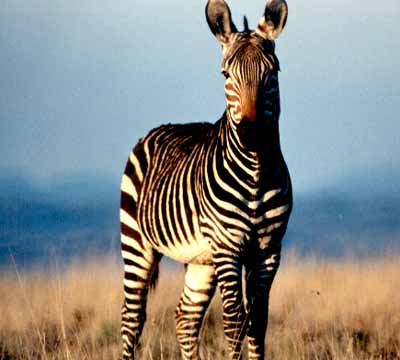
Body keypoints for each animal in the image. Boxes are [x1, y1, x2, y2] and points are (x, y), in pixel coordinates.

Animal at [120, 0, 292, 358]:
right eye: (226, 74)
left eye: (273, 72)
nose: (252, 134)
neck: (255, 175)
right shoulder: (227, 247)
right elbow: (234, 321)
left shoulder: (270, 248)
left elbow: (258, 321)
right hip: (136, 243)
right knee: (132, 318)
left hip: (201, 260)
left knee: (185, 317)